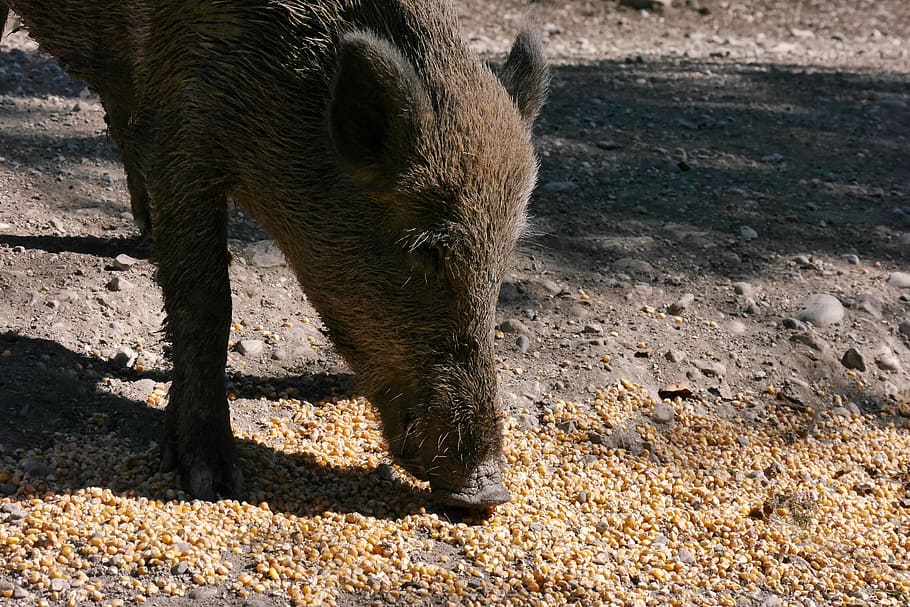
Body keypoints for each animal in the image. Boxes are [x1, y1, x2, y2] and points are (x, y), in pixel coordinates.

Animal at [3, 0, 548, 510]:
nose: (487, 493)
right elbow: (206, 302)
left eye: (505, 255)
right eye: (428, 250)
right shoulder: (183, 128)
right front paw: (210, 482)